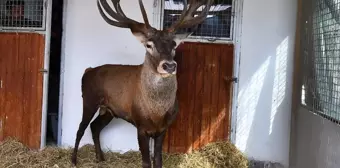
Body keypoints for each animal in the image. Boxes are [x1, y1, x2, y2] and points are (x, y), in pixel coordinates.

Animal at [70, 0, 211, 167]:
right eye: (149, 45)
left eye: (174, 45)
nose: (169, 66)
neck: (156, 113)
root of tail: (88, 70)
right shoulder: (141, 126)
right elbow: (146, 162)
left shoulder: (163, 129)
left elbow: (158, 160)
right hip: (88, 100)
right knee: (81, 128)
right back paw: (74, 160)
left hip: (109, 110)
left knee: (95, 126)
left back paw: (100, 158)